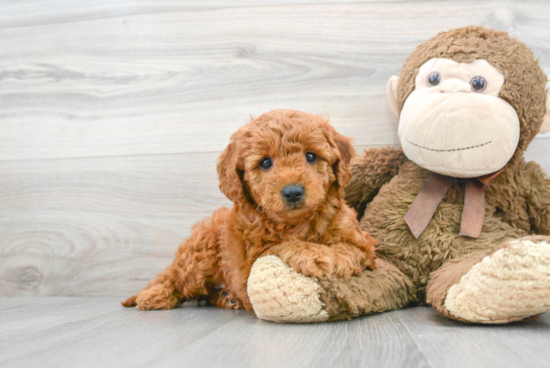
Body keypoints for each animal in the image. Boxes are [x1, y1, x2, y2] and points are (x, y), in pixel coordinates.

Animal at [122, 108, 378, 310]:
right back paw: (155, 295)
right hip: (201, 253)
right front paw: (313, 254)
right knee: (178, 280)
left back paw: (226, 297)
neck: (297, 223)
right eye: (265, 162)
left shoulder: (361, 244)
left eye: (311, 156)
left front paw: (327, 255)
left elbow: (348, 249)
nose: (293, 192)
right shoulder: (251, 259)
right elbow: (281, 245)